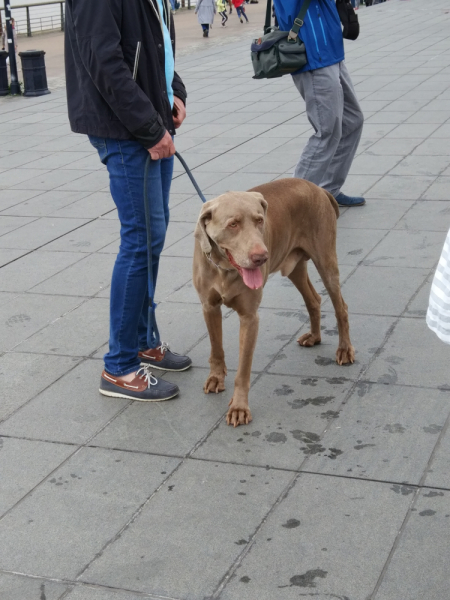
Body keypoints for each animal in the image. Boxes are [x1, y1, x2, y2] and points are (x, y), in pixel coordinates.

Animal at [192, 178, 354, 426]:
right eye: (233, 224)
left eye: (259, 220)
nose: (262, 257)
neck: (224, 269)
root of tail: (318, 188)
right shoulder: (209, 307)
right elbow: (216, 348)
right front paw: (216, 377)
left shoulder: (250, 317)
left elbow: (243, 369)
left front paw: (239, 407)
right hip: (295, 265)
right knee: (314, 299)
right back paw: (314, 336)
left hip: (326, 260)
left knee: (340, 307)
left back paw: (344, 349)